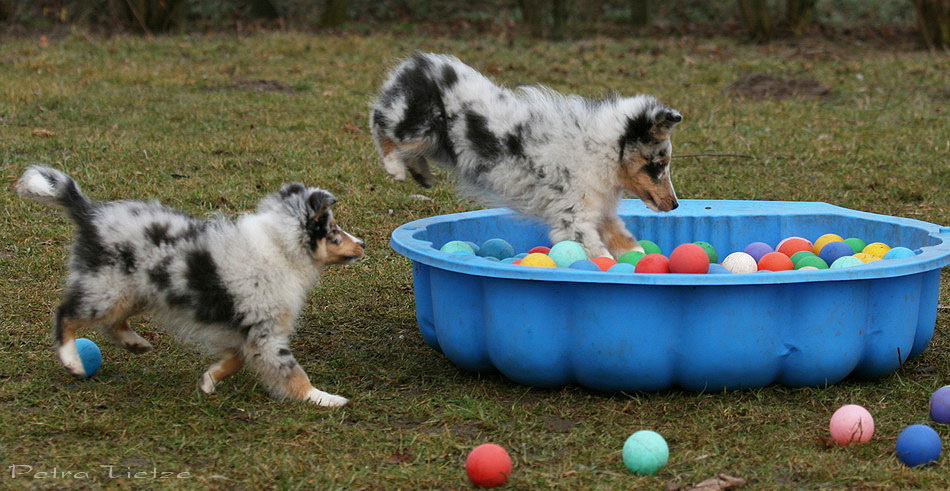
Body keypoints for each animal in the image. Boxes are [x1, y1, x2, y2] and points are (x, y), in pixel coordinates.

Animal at [14, 167, 364, 410]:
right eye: (333, 231)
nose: (362, 243)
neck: (281, 247)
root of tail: (90, 213)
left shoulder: (244, 331)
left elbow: (235, 360)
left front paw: (209, 381)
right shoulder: (266, 332)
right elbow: (291, 372)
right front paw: (322, 398)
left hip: (136, 290)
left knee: (113, 323)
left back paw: (134, 343)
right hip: (108, 289)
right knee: (66, 314)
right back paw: (73, 360)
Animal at [370, 52, 684, 262]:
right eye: (657, 165)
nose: (674, 204)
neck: (599, 150)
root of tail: (417, 64)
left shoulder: (601, 212)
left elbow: (626, 241)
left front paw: (643, 260)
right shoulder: (574, 219)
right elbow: (597, 253)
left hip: (430, 141)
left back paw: (420, 173)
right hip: (417, 127)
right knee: (379, 119)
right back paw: (394, 167)